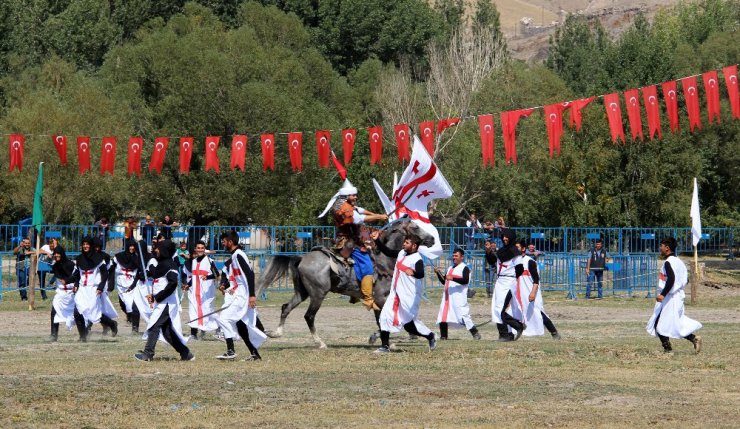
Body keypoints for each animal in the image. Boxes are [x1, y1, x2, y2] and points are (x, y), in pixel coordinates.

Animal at [258, 219, 436, 346]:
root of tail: (301, 259)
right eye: (415, 227)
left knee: (285, 308)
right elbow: (382, 319)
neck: (384, 260)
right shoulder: (380, 297)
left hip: (302, 293)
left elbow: (382, 318)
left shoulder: (378, 299)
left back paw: (276, 333)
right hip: (317, 295)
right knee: (309, 316)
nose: (432, 239)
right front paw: (380, 339)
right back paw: (320, 343)